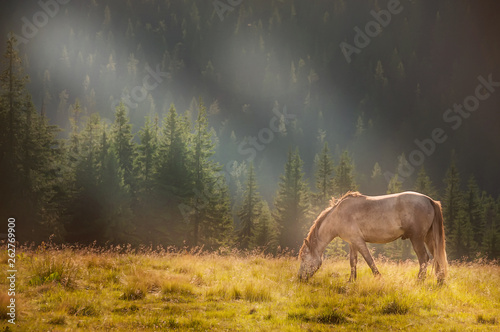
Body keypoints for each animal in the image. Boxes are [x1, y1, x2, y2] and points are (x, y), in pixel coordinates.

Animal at [296, 192, 450, 282]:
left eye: (303, 258)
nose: (299, 278)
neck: (338, 215)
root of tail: (429, 200)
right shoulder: (352, 242)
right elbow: (353, 261)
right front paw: (351, 281)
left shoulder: (358, 241)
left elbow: (369, 260)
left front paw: (378, 278)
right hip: (429, 238)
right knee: (437, 258)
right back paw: (439, 280)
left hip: (417, 238)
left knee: (423, 258)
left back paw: (419, 281)